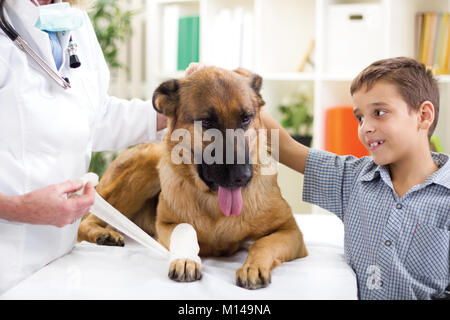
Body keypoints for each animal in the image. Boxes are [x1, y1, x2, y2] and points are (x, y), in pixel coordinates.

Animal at [78, 67, 310, 290]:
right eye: (207, 122)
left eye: (246, 118)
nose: (242, 177)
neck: (214, 204)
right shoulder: (166, 224)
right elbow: (186, 230)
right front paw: (185, 259)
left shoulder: (291, 231)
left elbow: (261, 244)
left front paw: (253, 267)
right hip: (145, 165)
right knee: (86, 221)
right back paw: (103, 234)